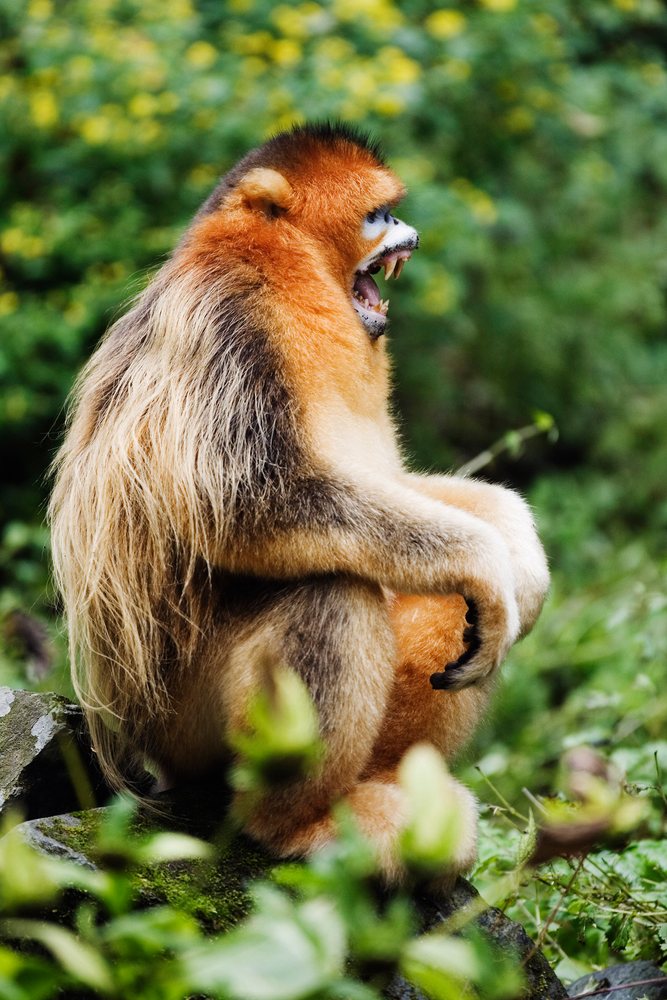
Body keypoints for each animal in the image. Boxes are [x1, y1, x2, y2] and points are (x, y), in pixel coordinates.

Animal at [49, 122, 549, 883]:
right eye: (377, 215)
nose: (410, 234)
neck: (288, 276)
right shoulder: (230, 320)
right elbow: (250, 505)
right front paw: (490, 558)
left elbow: (391, 482)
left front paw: (519, 552)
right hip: (183, 726)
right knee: (334, 592)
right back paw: (292, 826)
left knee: (441, 597)